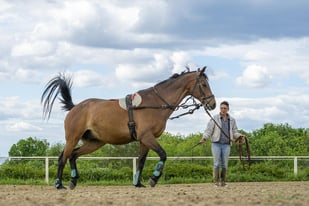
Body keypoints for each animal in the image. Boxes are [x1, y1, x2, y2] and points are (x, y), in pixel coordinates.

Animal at [41, 67, 215, 189]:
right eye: (204, 84)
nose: (212, 104)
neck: (155, 103)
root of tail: (75, 107)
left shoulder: (144, 140)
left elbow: (141, 161)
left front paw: (138, 183)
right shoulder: (147, 137)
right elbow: (163, 155)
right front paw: (154, 178)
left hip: (95, 142)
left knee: (73, 155)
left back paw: (73, 181)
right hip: (72, 138)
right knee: (63, 158)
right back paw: (59, 184)